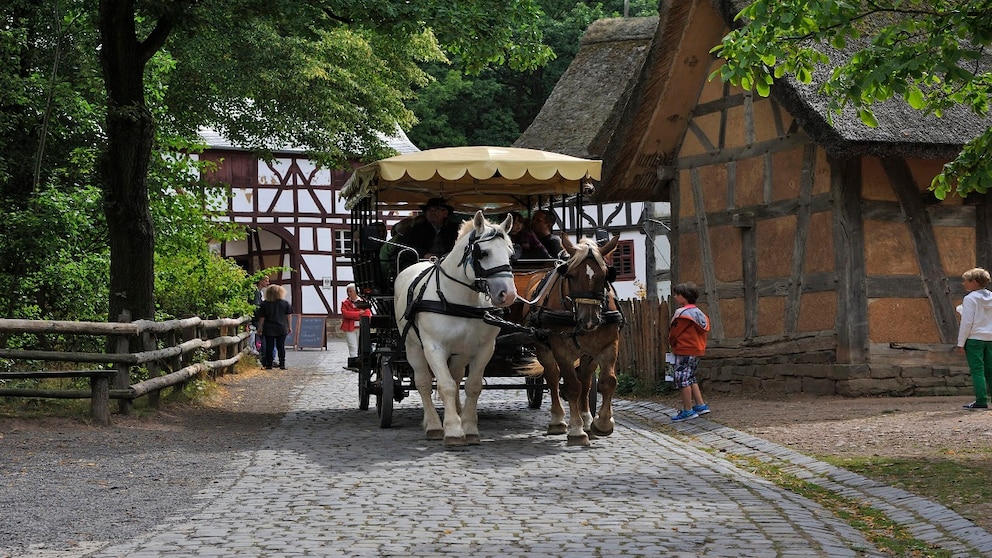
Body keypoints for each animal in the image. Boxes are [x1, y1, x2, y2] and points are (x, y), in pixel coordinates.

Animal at [396, 212, 520, 448]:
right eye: (483, 253)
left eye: (510, 253)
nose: (507, 295)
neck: (460, 300)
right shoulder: (433, 348)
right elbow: (445, 385)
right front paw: (453, 430)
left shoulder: (484, 349)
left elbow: (472, 386)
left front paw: (469, 427)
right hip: (412, 347)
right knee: (423, 383)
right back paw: (434, 425)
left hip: (460, 353)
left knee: (455, 377)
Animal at [520, 234, 620, 448]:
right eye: (571, 276)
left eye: (605, 275)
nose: (589, 320)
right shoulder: (561, 351)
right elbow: (572, 386)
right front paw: (576, 430)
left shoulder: (608, 346)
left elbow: (607, 381)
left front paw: (602, 423)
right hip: (544, 348)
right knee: (553, 377)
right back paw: (558, 421)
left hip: (587, 354)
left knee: (585, 380)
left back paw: (587, 420)